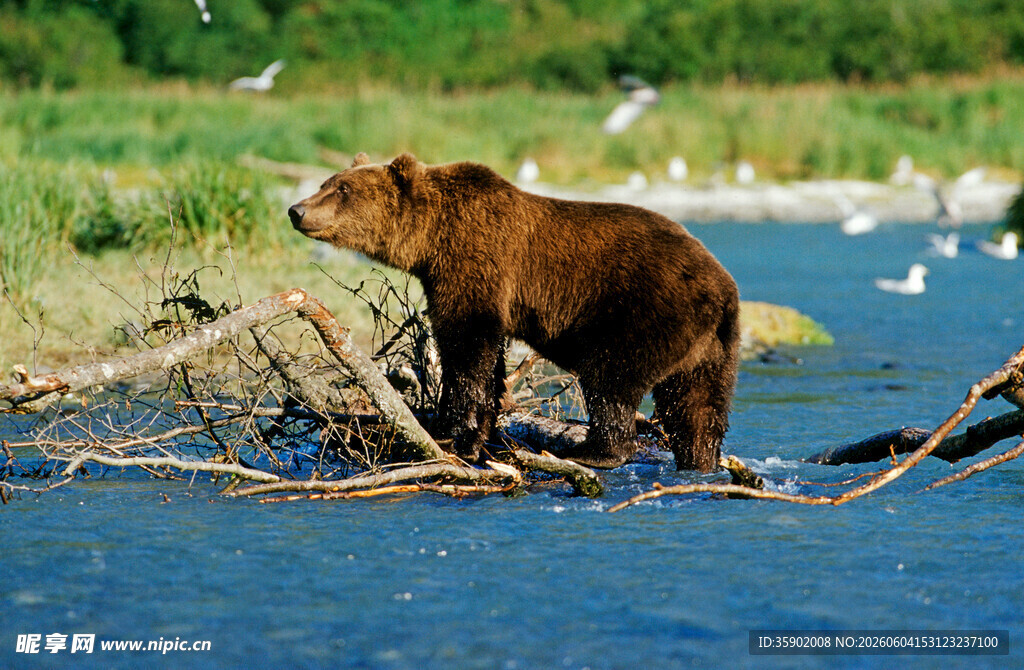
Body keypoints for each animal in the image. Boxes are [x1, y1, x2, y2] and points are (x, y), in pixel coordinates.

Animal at [288, 153, 739, 472]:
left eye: (342, 189)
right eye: (328, 182)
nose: (296, 209)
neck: (432, 241)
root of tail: (723, 288)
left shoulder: (475, 260)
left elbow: (467, 346)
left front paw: (449, 430)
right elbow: (489, 360)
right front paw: (479, 432)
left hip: (646, 310)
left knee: (610, 377)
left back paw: (594, 452)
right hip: (709, 347)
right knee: (696, 406)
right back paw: (699, 460)